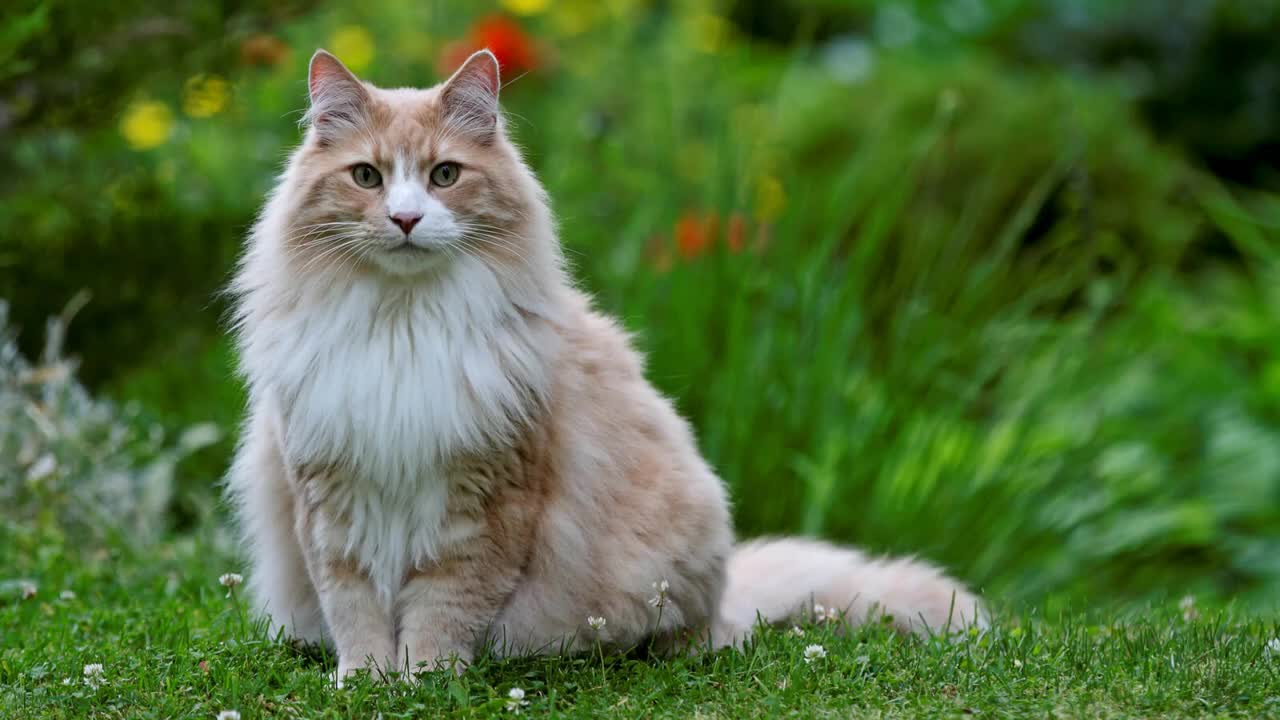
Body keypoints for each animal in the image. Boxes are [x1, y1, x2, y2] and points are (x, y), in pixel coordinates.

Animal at [230, 49, 983, 676]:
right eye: (367, 177)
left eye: (444, 175)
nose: (406, 219)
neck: (402, 325)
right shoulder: (329, 499)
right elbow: (354, 609)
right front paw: (366, 681)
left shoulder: (484, 502)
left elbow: (442, 610)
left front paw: (423, 680)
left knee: (706, 631)